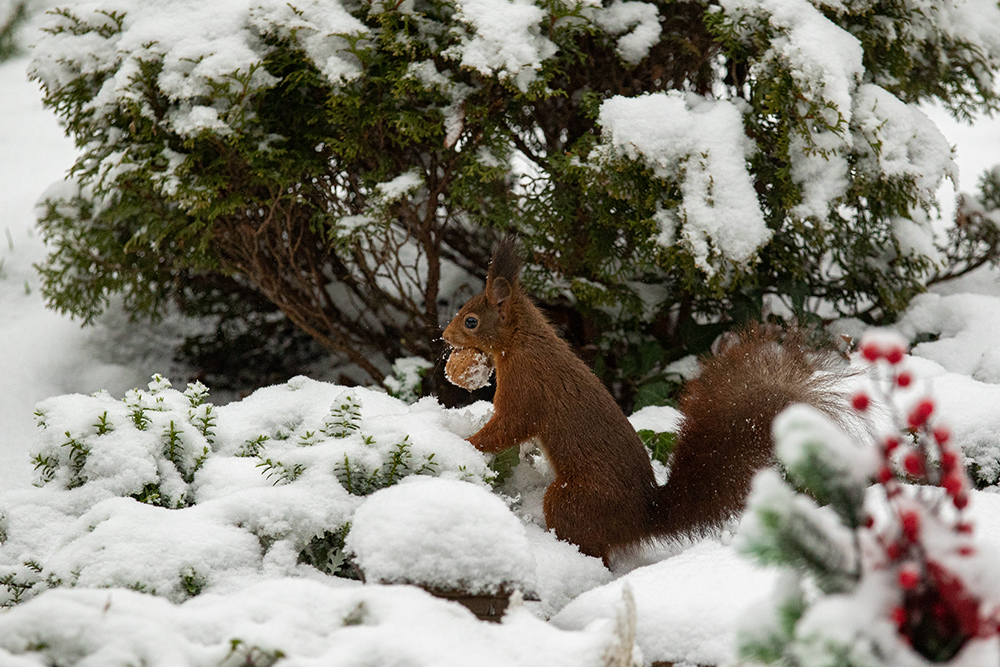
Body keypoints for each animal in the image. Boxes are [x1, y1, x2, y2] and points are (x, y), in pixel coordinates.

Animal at [442, 237, 840, 568]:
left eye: (471, 321)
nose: (444, 336)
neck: (522, 341)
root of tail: (640, 520)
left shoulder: (527, 388)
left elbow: (509, 426)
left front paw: (468, 443)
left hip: (574, 500)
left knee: (595, 555)